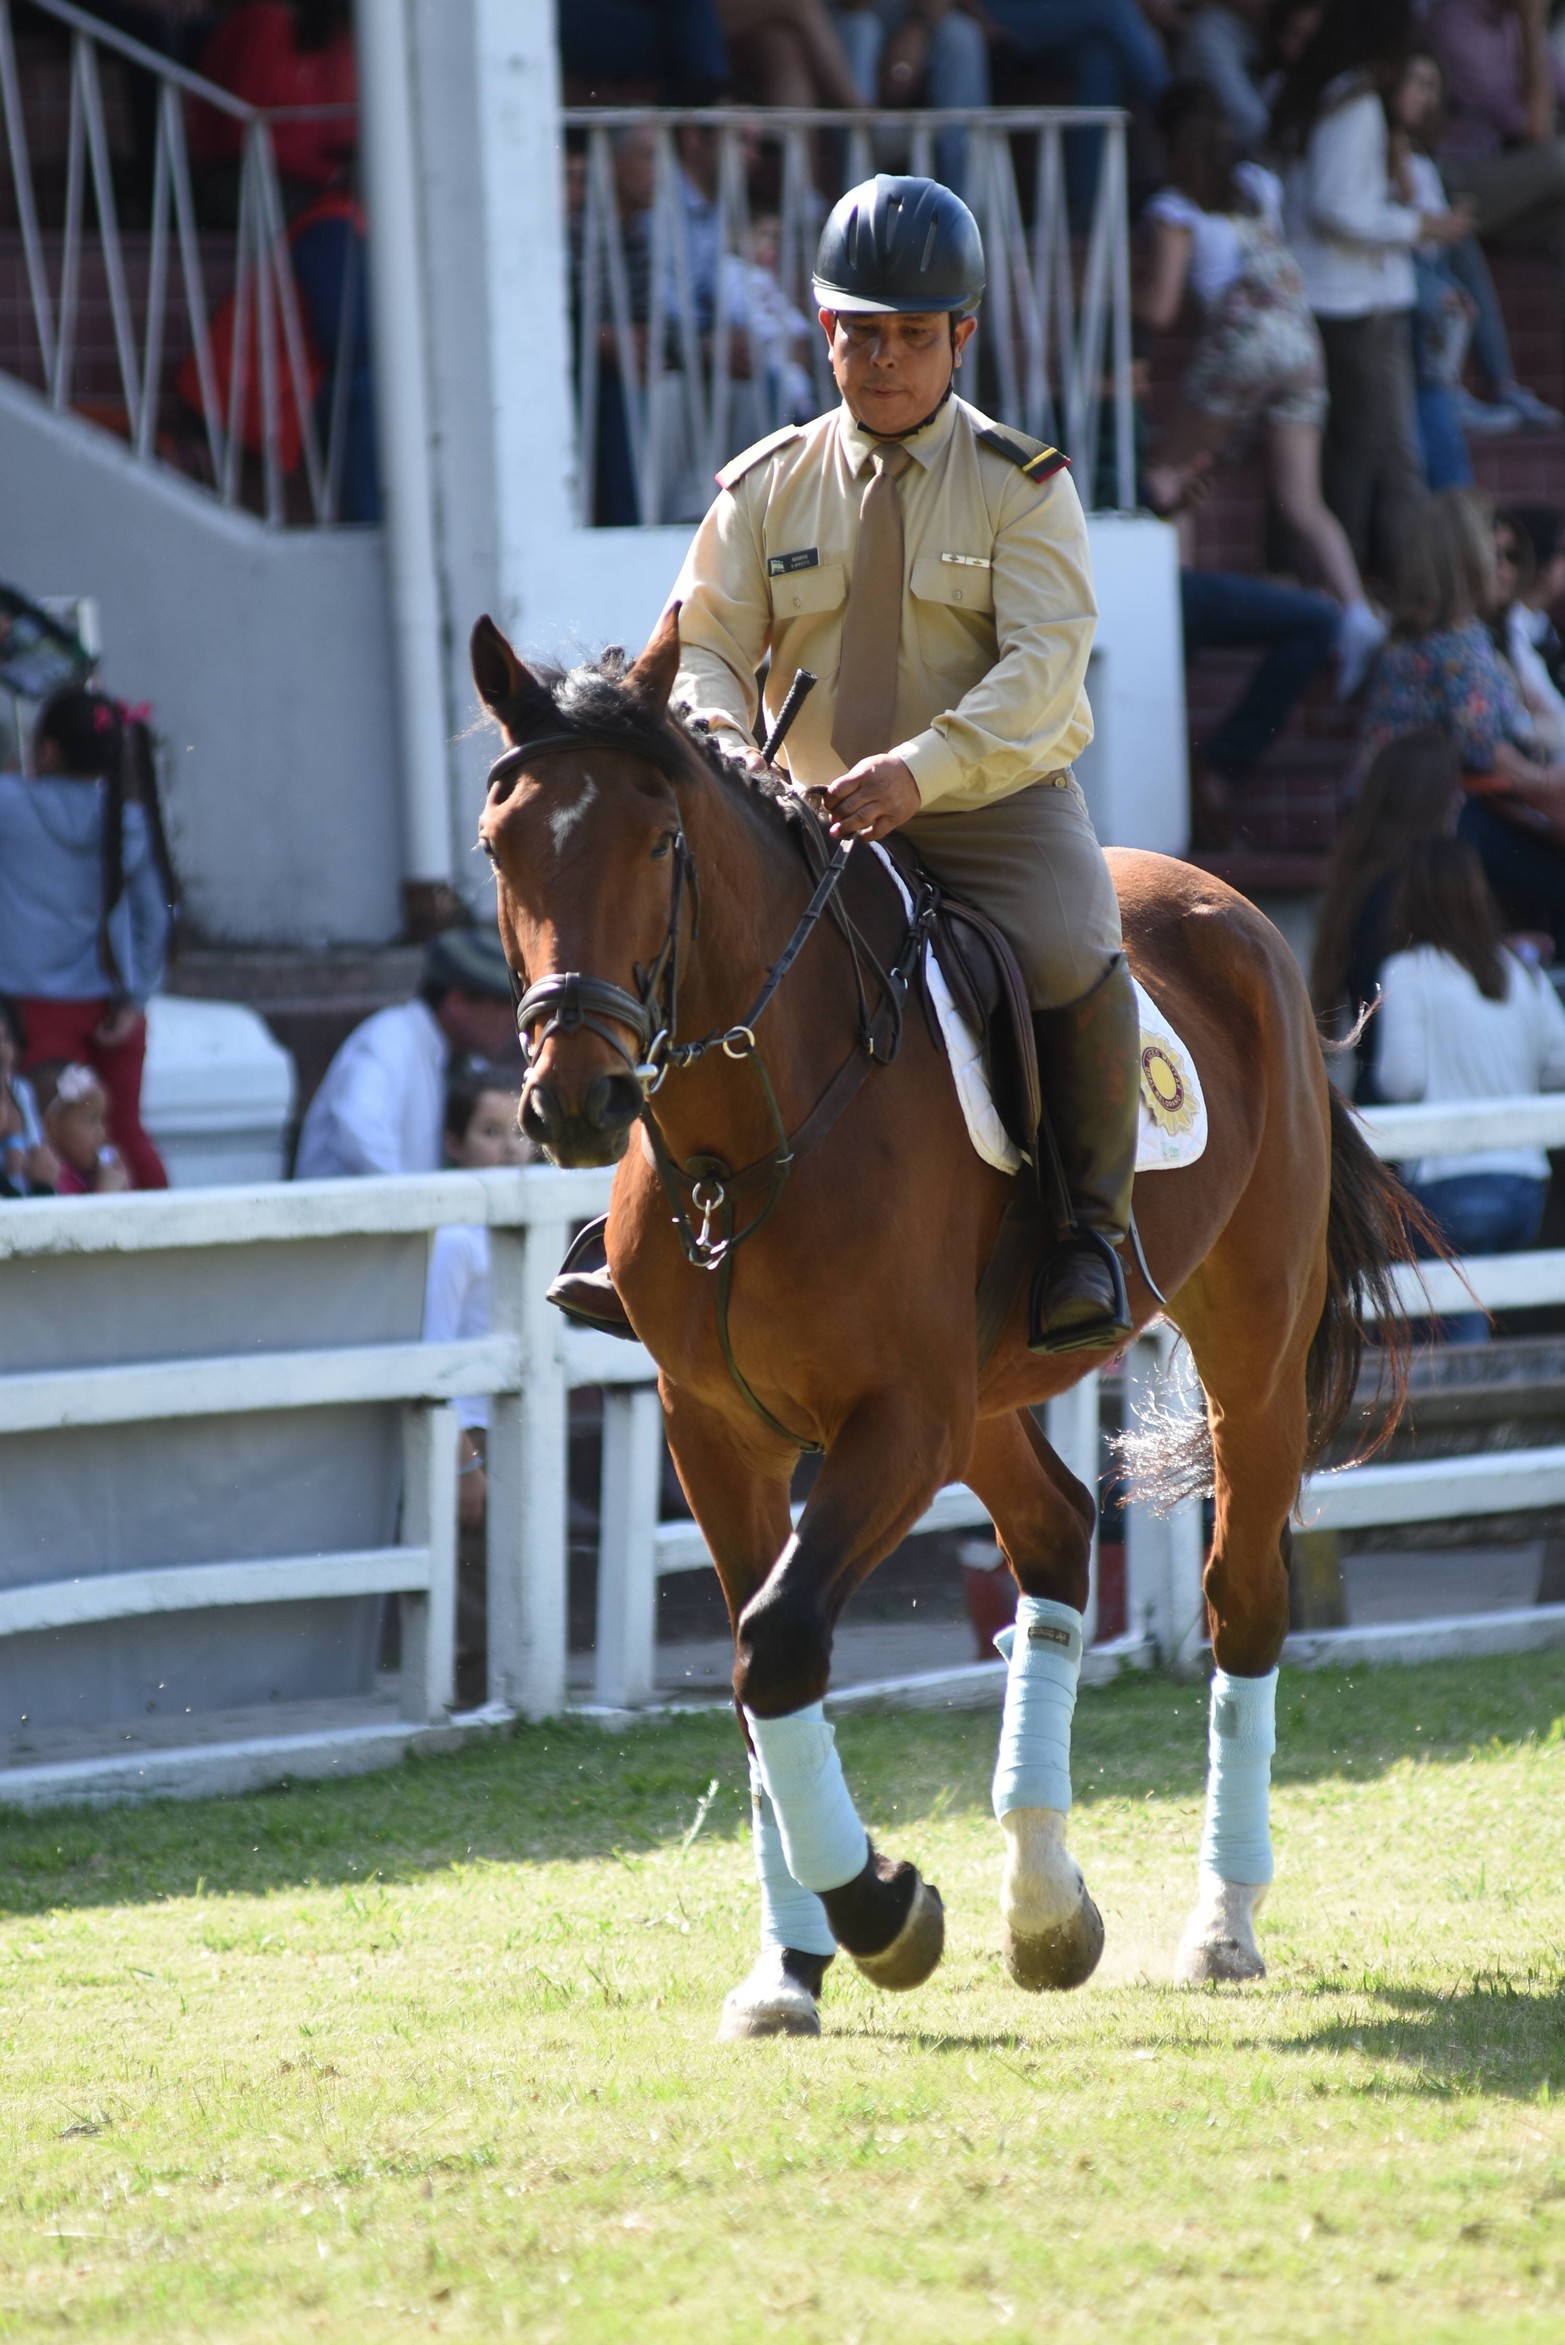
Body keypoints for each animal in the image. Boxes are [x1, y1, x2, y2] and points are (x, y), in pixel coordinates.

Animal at [472, 603, 1422, 2039]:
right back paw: (1042, 1899)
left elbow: (777, 1643)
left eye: (657, 841)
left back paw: (1219, 1922)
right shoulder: (716, 1432)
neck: (746, 1142)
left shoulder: (898, 1424)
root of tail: (1232, 912)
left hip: (1244, 1357)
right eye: (500, 846)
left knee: (1239, 1599)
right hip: (985, 1395)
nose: (574, 1097)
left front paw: (880, 1911)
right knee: (1052, 1533)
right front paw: (790, 1962)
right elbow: (753, 1681)